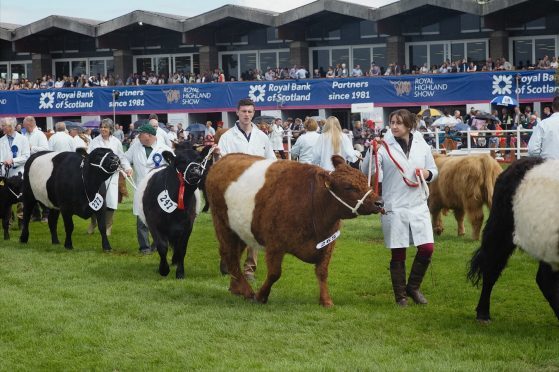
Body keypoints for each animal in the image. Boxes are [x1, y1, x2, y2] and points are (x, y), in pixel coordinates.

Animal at [136, 142, 206, 280]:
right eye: (181, 161)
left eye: (200, 160)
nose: (195, 171)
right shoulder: (153, 222)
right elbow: (162, 246)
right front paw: (163, 270)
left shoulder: (188, 225)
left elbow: (182, 248)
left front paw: (180, 272)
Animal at [206, 153, 384, 306]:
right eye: (348, 187)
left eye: (365, 180)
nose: (380, 202)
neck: (314, 203)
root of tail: (223, 159)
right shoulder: (275, 244)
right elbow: (274, 273)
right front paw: (261, 296)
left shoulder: (328, 244)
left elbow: (322, 272)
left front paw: (326, 301)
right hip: (222, 223)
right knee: (229, 254)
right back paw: (247, 291)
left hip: (241, 229)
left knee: (235, 254)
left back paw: (236, 288)